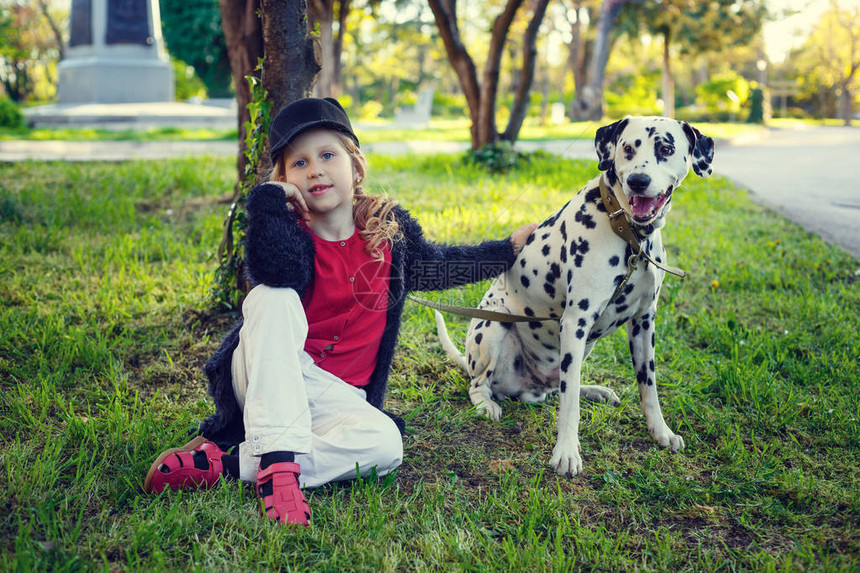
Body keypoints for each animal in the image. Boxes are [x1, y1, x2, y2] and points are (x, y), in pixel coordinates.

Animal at [440, 115, 716, 474]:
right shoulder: (575, 322)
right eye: (627, 149)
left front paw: (661, 432)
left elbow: (649, 387)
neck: (628, 235)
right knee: (484, 384)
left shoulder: (644, 323)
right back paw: (486, 403)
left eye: (666, 149)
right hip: (494, 327)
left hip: (581, 349)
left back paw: (595, 390)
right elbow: (569, 404)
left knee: (561, 384)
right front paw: (567, 452)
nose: (638, 181)